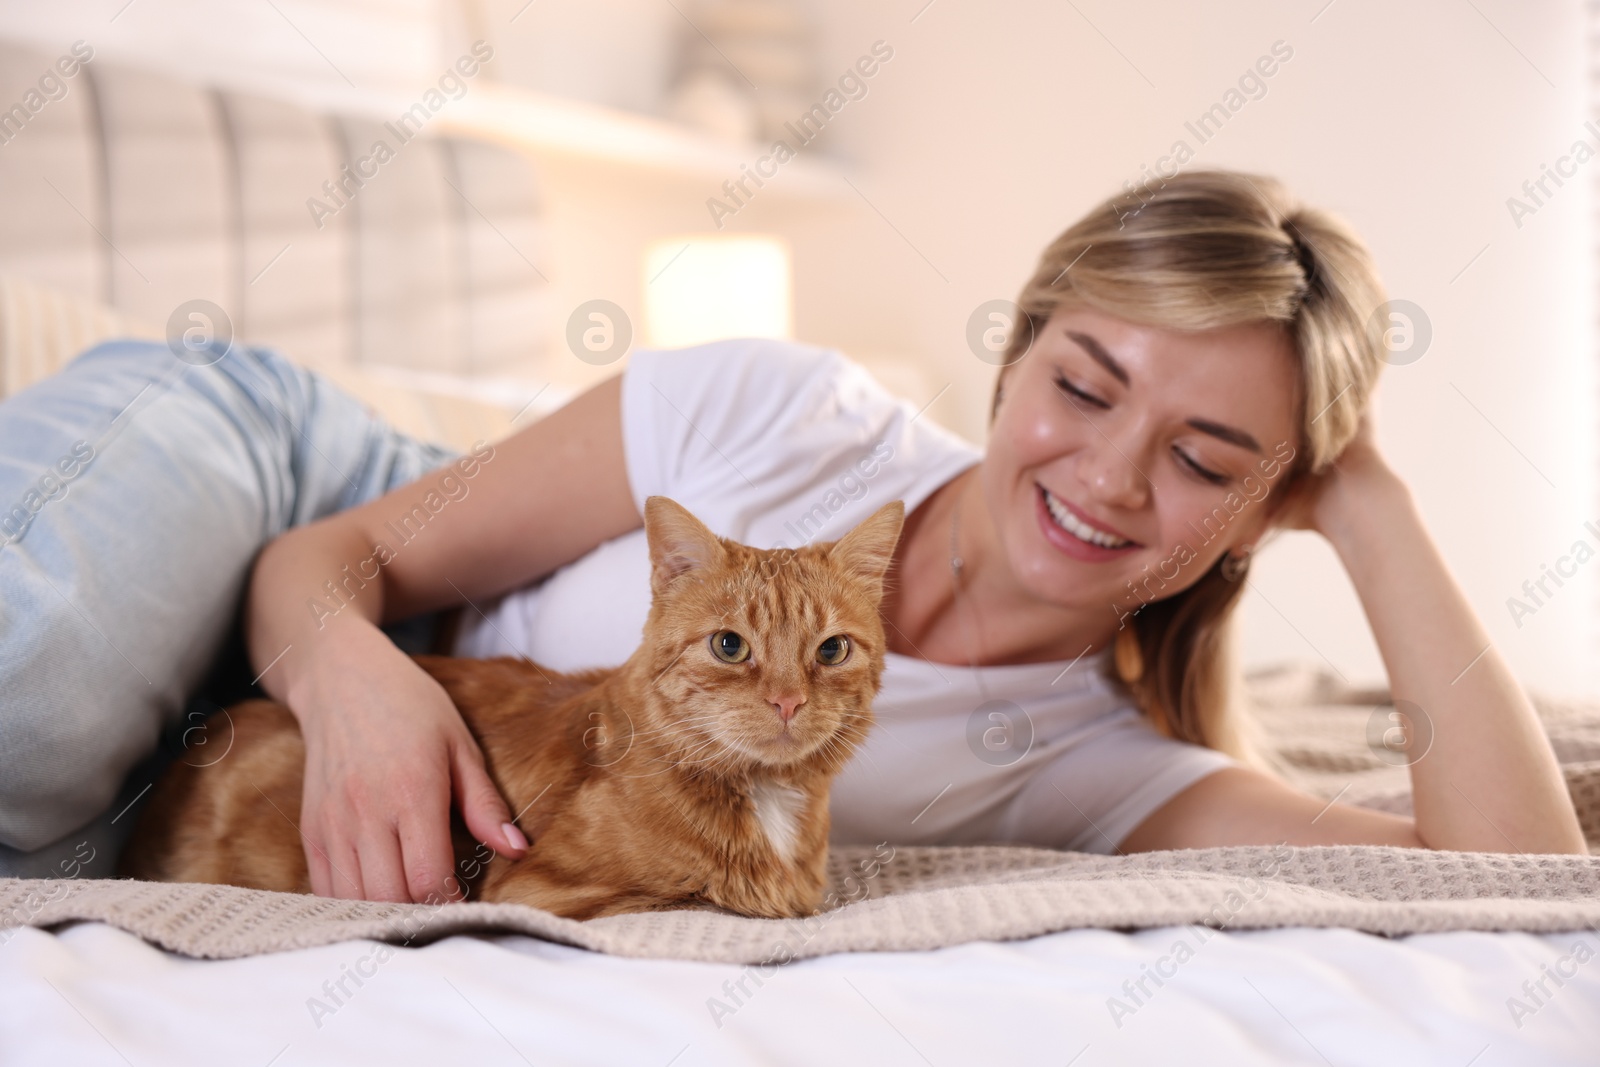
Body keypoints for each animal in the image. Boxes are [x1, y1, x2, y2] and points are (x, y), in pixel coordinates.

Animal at [118, 495, 908, 921]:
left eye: (831, 650)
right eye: (728, 645)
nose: (787, 700)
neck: (768, 802)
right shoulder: (541, 893)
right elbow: (703, 897)